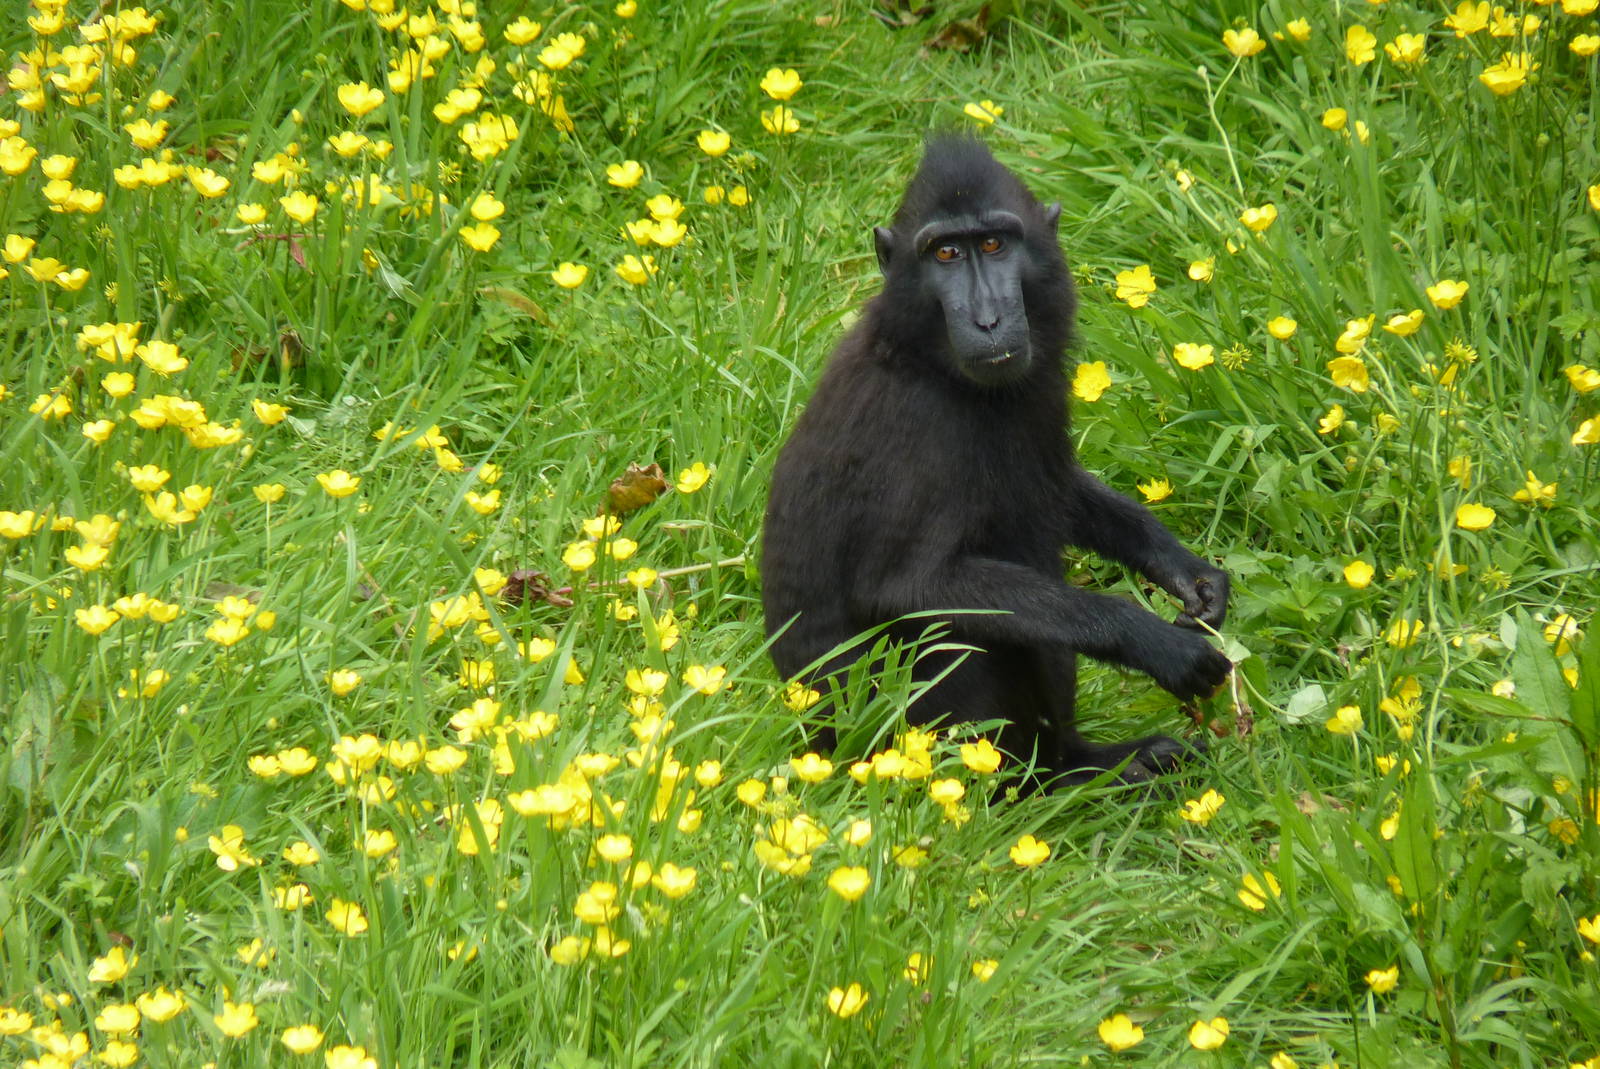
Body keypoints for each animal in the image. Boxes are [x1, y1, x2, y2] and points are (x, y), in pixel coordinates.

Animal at [760, 134, 1232, 783]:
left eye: (992, 244)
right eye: (945, 254)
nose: (988, 320)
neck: (924, 356)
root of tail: (817, 742)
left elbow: (1060, 486)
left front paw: (1186, 572)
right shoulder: (917, 427)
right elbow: (908, 587)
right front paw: (1151, 640)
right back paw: (1062, 780)